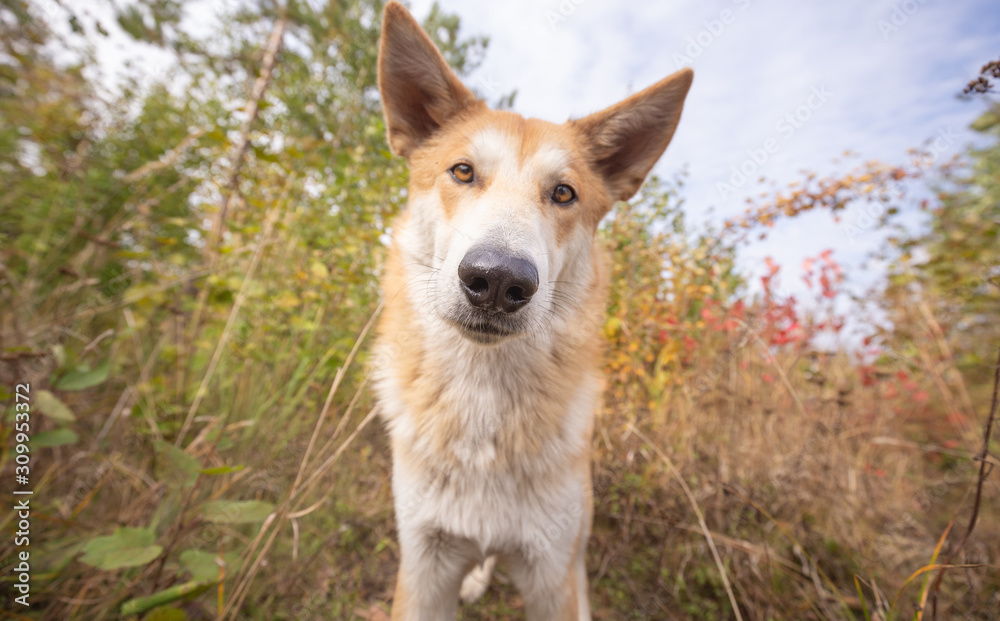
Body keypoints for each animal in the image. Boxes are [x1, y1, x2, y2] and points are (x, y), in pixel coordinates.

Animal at [372, 3, 692, 616]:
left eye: (563, 193)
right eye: (463, 171)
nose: (498, 281)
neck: (485, 407)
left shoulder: (551, 576)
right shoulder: (423, 567)